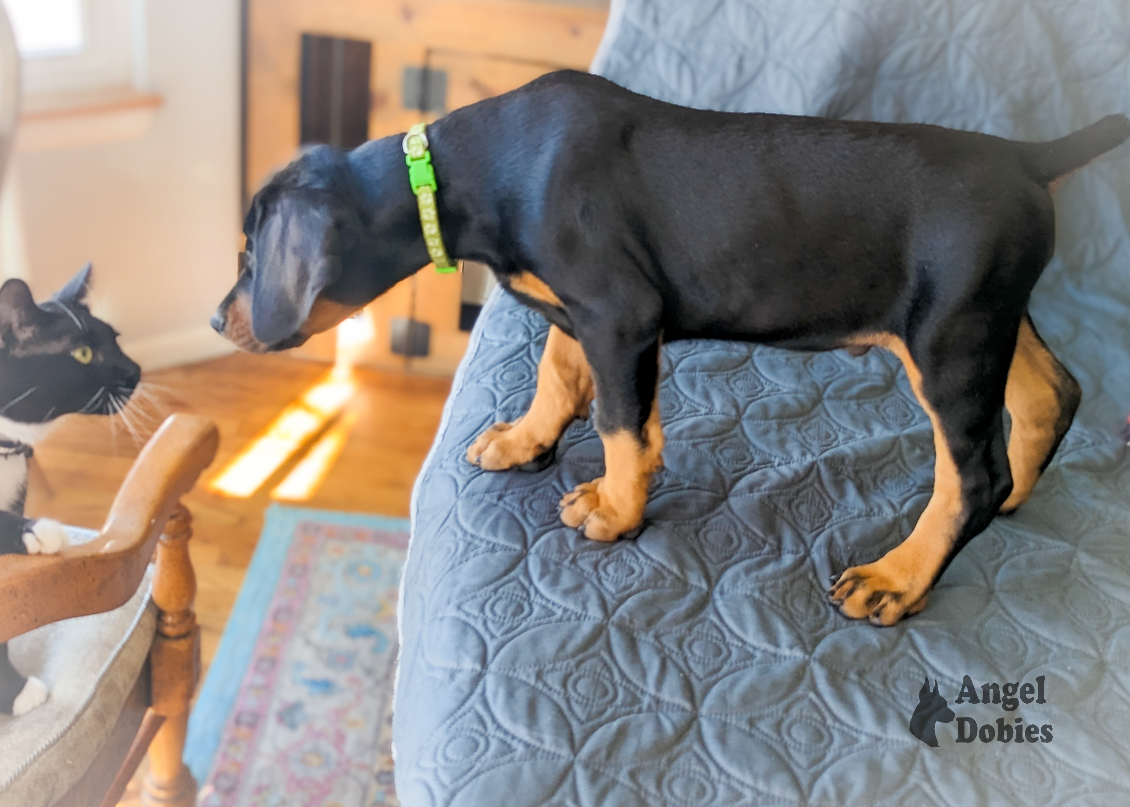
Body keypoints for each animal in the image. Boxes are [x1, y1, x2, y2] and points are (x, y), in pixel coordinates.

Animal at [213, 70, 1130, 623]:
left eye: (252, 254)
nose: (220, 320)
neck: (467, 172)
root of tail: (1028, 157)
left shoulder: (621, 313)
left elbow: (623, 425)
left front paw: (617, 511)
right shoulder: (576, 314)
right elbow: (557, 380)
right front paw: (524, 441)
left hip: (948, 338)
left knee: (971, 475)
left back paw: (899, 576)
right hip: (987, 316)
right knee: (1050, 395)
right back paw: (1010, 503)